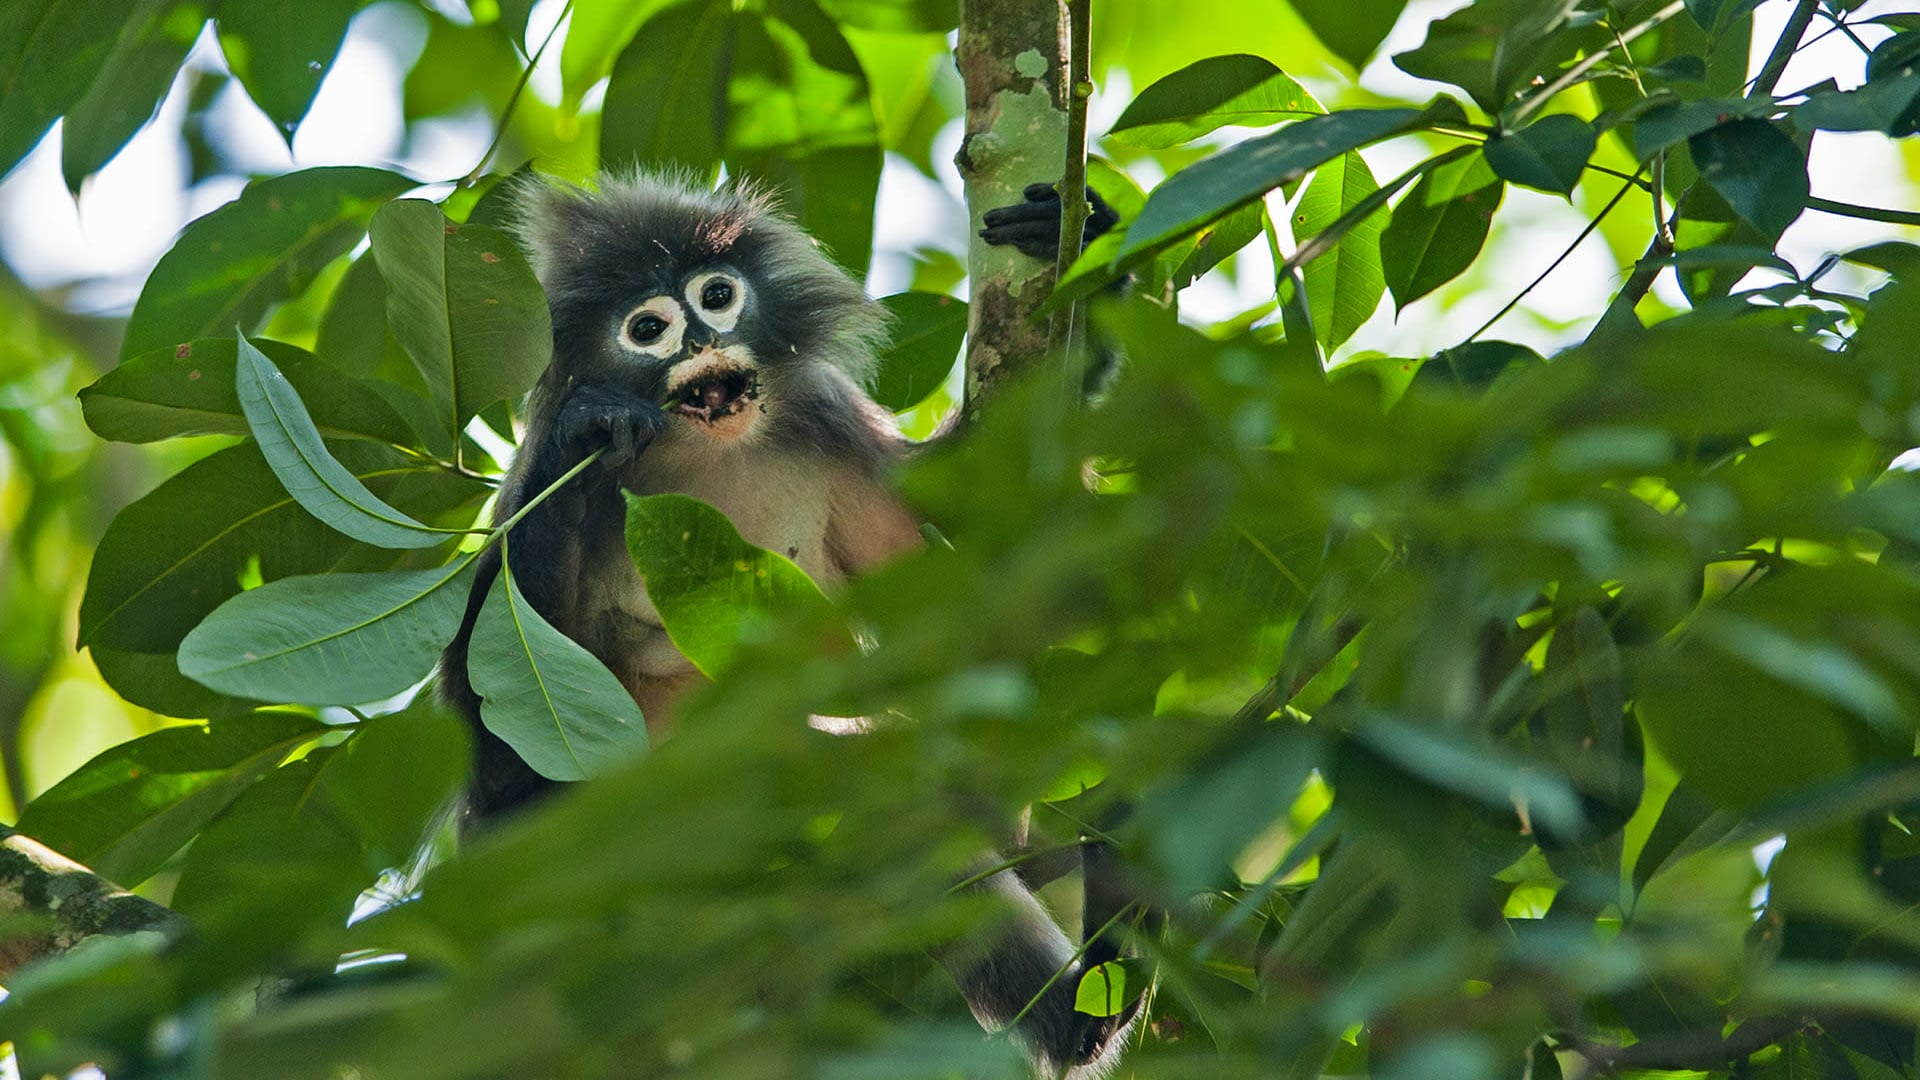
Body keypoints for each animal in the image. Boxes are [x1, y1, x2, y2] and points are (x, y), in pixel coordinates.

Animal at [435, 171, 1136, 1068]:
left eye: (717, 296)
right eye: (648, 329)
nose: (702, 336)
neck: (710, 452)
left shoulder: (825, 419)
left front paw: (1077, 242)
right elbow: (492, 743)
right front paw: (583, 428)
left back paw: (1089, 1011)